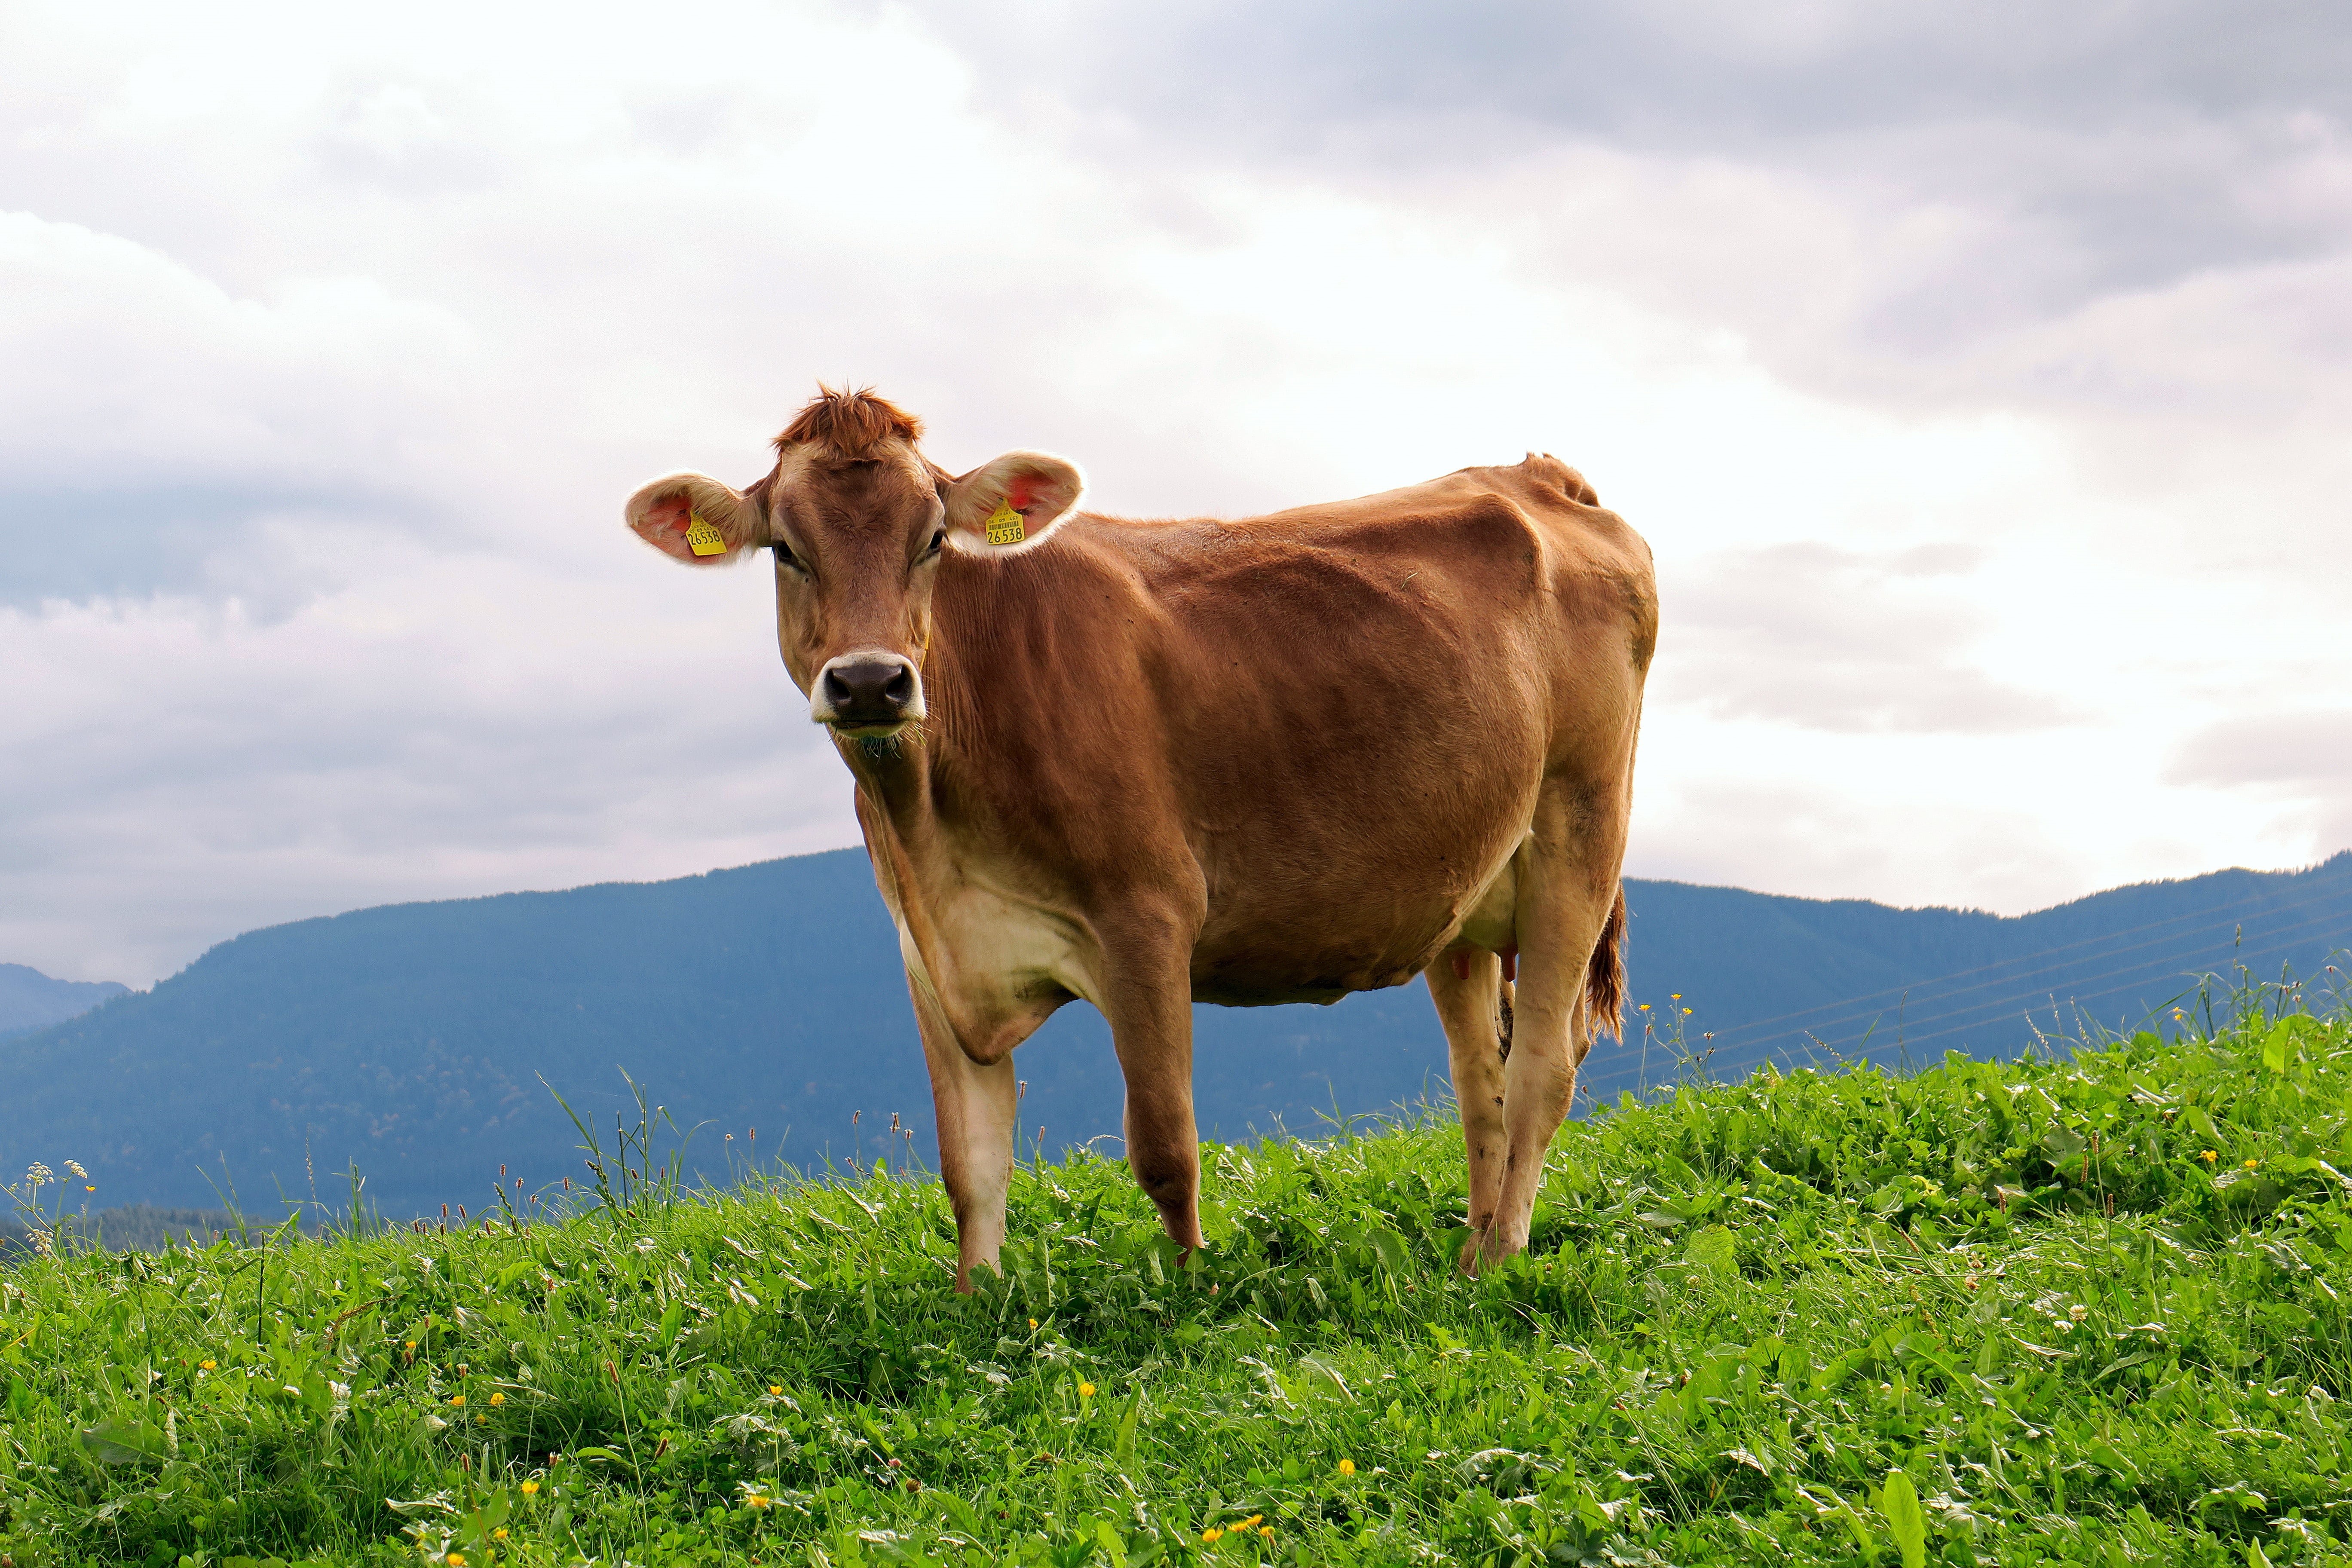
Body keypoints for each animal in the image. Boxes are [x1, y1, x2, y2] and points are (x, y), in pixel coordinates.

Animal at [625, 387, 1656, 1286]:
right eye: (787, 549)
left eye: (932, 541)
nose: (872, 682)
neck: (929, 827)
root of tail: (1537, 474)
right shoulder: (930, 954)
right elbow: (970, 1165)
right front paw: (977, 1302)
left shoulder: (1147, 918)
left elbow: (1165, 1144)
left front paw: (1192, 1291)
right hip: (1463, 886)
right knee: (1482, 1080)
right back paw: (1473, 1245)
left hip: (1580, 825)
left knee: (1542, 1069)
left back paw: (1501, 1258)